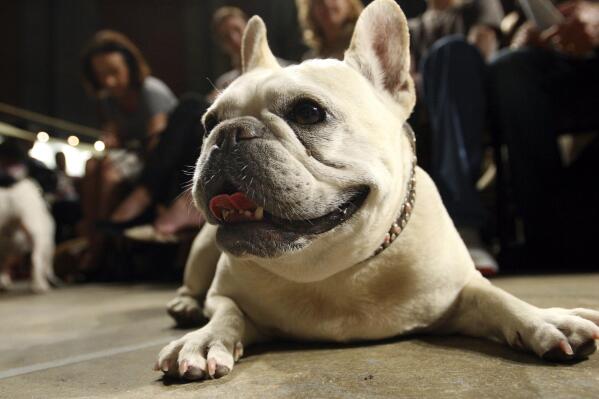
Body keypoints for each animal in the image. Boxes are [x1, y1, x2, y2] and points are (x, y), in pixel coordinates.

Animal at [156, 0, 599, 382]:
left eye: (308, 112)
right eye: (207, 122)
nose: (227, 134)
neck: (334, 269)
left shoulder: (460, 290)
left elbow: (497, 298)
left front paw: (545, 319)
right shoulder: (226, 295)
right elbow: (225, 312)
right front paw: (205, 339)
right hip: (202, 248)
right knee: (194, 285)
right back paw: (185, 305)